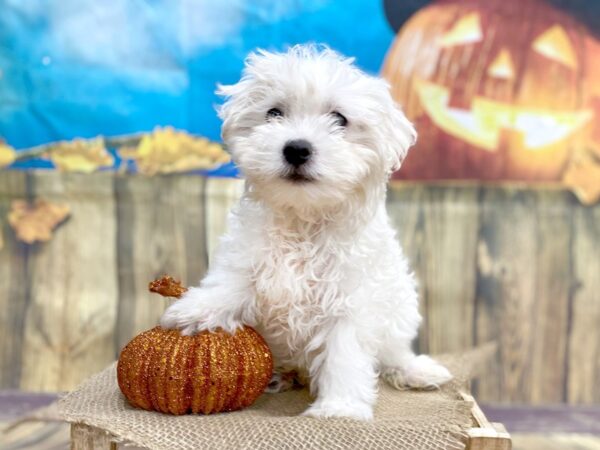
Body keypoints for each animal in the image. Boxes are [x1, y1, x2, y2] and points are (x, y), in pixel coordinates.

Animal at [159, 44, 450, 420]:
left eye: (339, 119)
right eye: (274, 113)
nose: (296, 148)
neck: (304, 217)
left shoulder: (350, 298)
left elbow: (344, 352)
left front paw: (340, 408)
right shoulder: (248, 259)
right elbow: (230, 285)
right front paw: (193, 310)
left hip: (399, 309)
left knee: (394, 352)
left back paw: (415, 370)